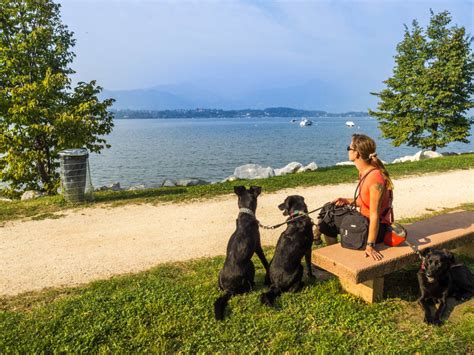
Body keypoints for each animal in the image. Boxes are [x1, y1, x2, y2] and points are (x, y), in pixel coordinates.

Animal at [215, 188, 270, 322]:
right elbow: (265, 262)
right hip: (250, 264)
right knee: (248, 288)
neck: (246, 215)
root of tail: (229, 290)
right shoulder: (258, 246)